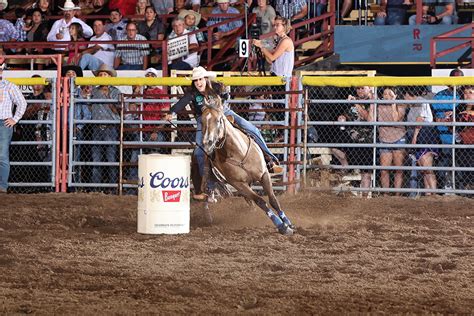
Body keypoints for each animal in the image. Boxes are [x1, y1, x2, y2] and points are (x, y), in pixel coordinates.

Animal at [195, 98, 292, 235]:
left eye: (219, 120)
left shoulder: (264, 175)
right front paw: (281, 225)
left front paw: (287, 222)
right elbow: (260, 201)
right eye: (202, 121)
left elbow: (273, 199)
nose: (207, 143)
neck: (239, 154)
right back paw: (208, 217)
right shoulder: (239, 184)